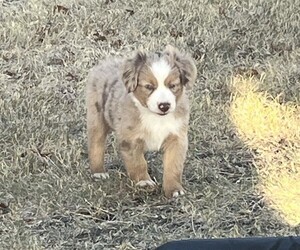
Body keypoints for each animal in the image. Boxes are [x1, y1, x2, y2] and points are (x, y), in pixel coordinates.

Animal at [85, 45, 197, 197]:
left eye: (173, 85)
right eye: (149, 87)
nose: (164, 106)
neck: (156, 117)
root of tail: (107, 62)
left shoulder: (177, 137)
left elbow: (173, 165)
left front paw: (174, 189)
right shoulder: (130, 139)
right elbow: (138, 163)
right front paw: (144, 182)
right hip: (96, 117)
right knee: (96, 144)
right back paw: (98, 172)